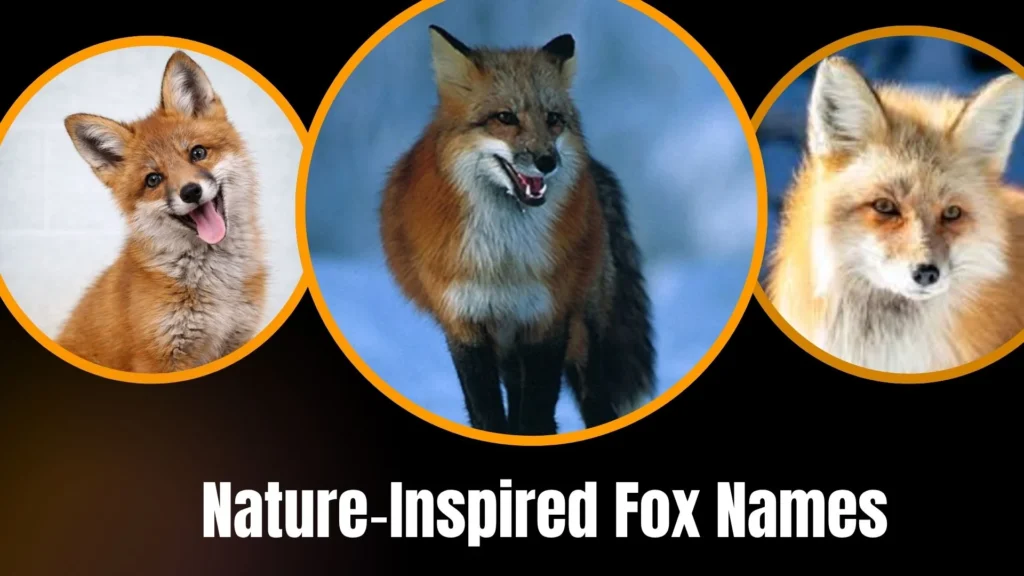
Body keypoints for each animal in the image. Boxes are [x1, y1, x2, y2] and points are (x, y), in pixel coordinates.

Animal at [56, 50, 268, 373]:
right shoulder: (159, 359)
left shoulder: (237, 337)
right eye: (153, 180)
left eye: (198, 153)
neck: (217, 287)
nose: (190, 192)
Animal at [378, 26, 655, 435]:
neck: (504, 260)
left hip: (581, 336)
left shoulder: (547, 320)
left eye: (553, 118)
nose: (547, 161)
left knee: (595, 404)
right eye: (505, 117)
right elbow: (488, 416)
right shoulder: (465, 326)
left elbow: (536, 418)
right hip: (508, 347)